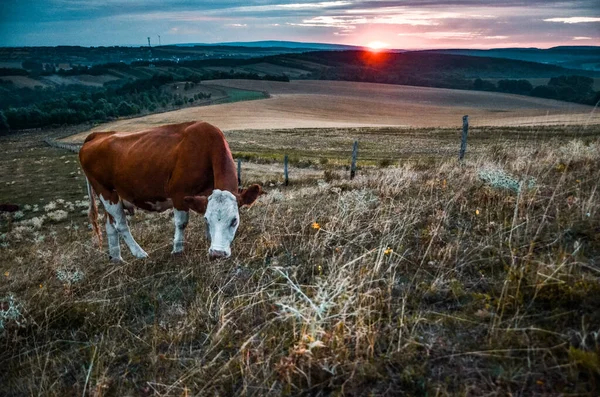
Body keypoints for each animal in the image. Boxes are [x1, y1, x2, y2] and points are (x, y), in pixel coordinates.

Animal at [78, 122, 262, 262]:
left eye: (234, 220)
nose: (217, 253)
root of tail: (98, 134)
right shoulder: (179, 193)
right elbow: (181, 223)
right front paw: (177, 250)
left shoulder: (204, 196)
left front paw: (208, 240)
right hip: (106, 192)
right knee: (121, 225)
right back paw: (140, 253)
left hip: (111, 196)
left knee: (110, 225)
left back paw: (117, 259)